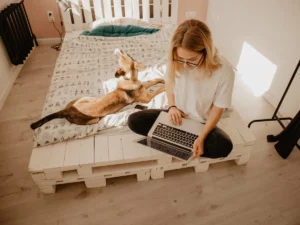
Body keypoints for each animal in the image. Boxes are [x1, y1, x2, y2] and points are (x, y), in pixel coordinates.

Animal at [29, 50, 166, 129]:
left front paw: (161, 79)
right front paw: (165, 85)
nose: (118, 50)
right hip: (92, 119)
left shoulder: (143, 87)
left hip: (85, 97)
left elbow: (151, 81)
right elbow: (157, 90)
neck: (129, 79)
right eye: (126, 55)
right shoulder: (147, 98)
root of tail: (67, 110)